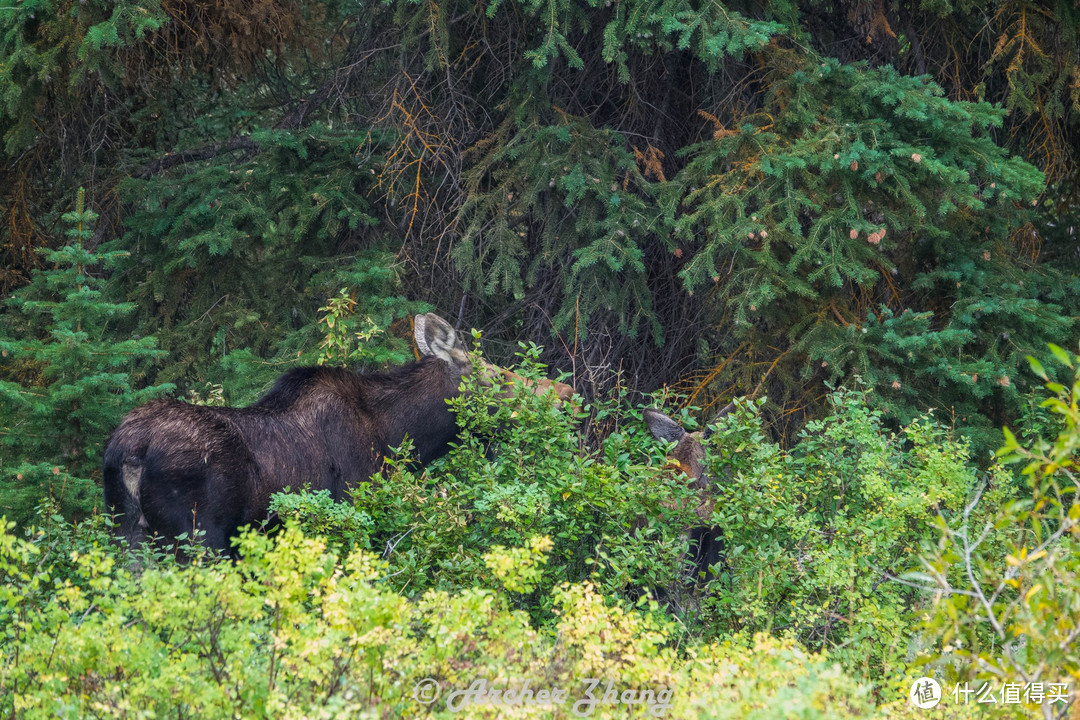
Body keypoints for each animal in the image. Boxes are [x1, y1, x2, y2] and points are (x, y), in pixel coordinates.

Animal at [104, 313, 574, 557]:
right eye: (497, 376)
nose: (565, 394)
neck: (399, 438)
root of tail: (130, 450)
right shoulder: (355, 512)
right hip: (198, 537)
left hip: (127, 534)